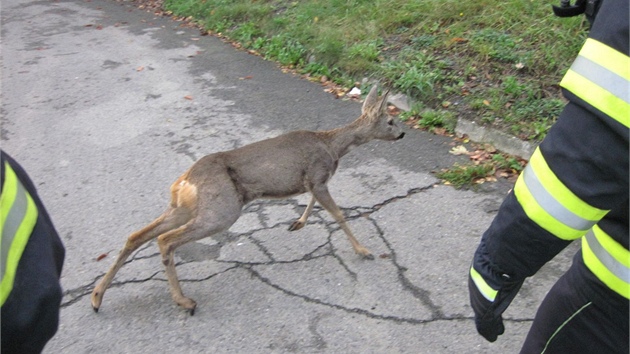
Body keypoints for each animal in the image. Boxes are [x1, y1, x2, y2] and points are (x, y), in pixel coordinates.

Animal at [91, 84, 408, 314]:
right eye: (391, 120)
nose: (403, 133)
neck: (333, 146)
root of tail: (185, 180)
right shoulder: (317, 176)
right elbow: (339, 213)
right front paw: (363, 250)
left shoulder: (314, 182)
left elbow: (313, 204)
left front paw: (299, 223)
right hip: (222, 209)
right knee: (164, 239)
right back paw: (184, 301)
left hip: (184, 207)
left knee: (137, 235)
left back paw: (97, 297)